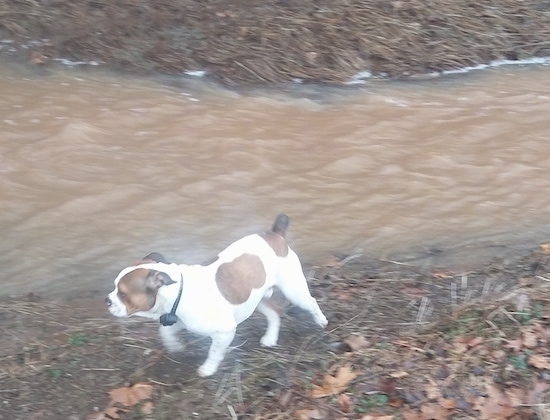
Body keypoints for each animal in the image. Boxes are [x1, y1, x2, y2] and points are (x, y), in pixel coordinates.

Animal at [107, 215, 330, 376]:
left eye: (123, 293)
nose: (107, 300)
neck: (178, 292)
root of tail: (275, 235)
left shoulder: (225, 331)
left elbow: (214, 351)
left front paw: (208, 368)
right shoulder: (179, 321)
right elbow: (165, 332)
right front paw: (174, 345)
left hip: (293, 290)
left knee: (310, 302)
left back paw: (321, 320)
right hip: (253, 299)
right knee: (274, 313)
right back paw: (270, 338)